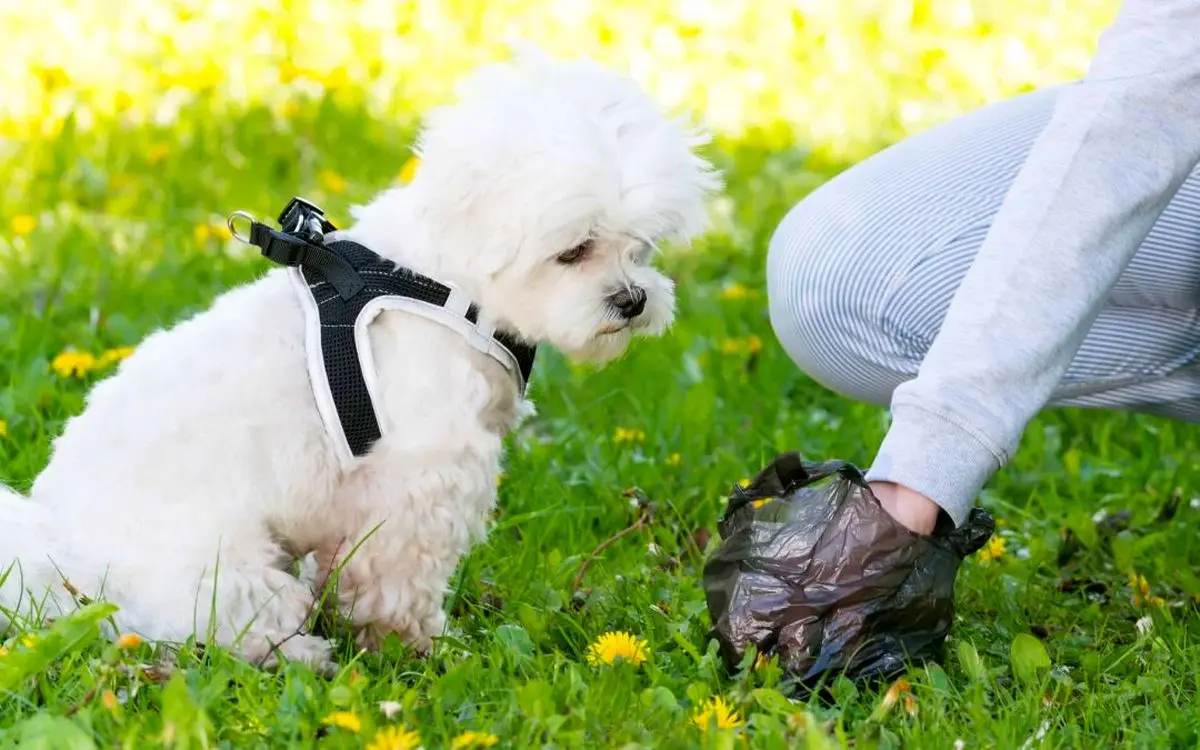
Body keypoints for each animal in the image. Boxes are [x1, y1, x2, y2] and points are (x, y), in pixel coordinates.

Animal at [0, 46, 710, 667]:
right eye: (574, 251)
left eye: (641, 246)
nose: (633, 299)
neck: (444, 283)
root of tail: (59, 556)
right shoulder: (420, 478)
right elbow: (398, 578)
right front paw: (415, 646)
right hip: (223, 572)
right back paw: (301, 653)